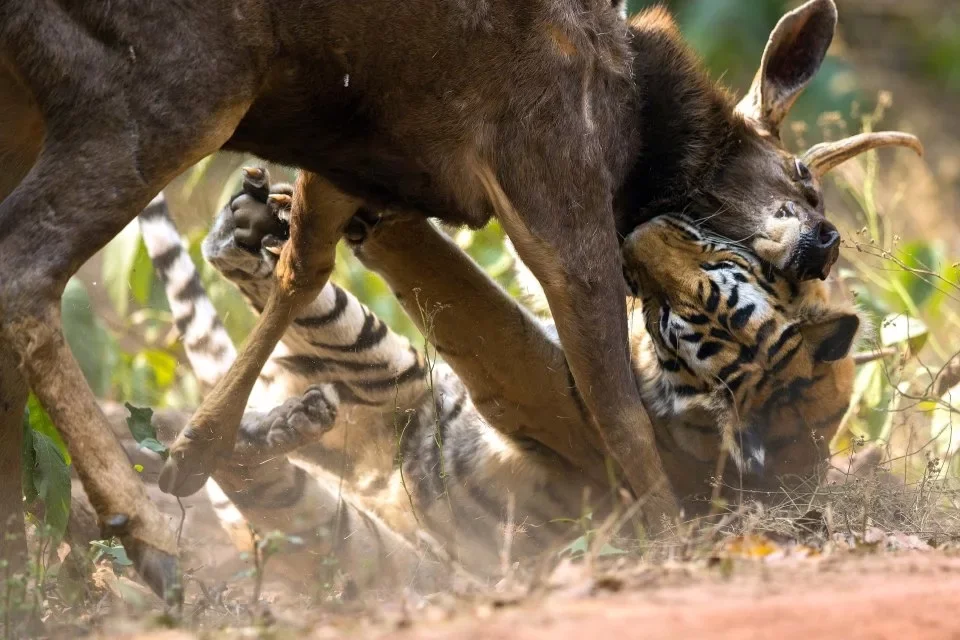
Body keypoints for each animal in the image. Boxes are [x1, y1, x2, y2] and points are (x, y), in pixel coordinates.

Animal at [135, 169, 864, 592]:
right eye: (711, 263)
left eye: (668, 319)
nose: (635, 235)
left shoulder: (531, 378)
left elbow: (472, 291)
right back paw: (248, 235)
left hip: (365, 417)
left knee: (249, 445)